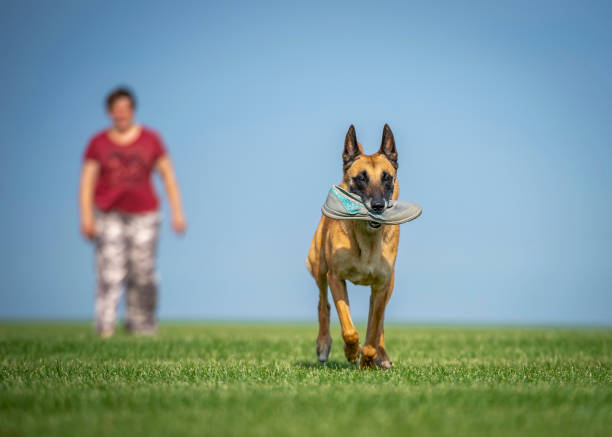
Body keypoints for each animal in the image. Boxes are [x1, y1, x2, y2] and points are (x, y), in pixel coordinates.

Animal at [306, 122, 402, 368]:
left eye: (387, 178)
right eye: (361, 178)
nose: (377, 206)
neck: (366, 238)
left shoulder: (382, 285)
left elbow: (373, 330)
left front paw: (368, 360)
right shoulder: (335, 278)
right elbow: (348, 329)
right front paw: (351, 352)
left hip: (388, 286)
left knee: (380, 321)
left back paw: (382, 356)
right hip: (319, 267)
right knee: (323, 306)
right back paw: (323, 345)